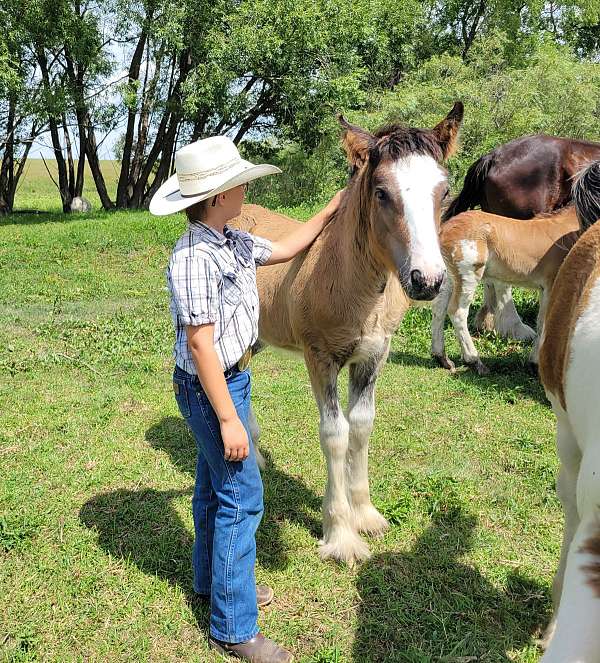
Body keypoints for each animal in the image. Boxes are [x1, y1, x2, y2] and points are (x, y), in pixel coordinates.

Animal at [231, 104, 464, 564]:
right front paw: (340, 535)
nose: (427, 281)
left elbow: (361, 426)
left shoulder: (373, 355)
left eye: (444, 191)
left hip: (257, 337)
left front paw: (366, 515)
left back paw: (257, 455)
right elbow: (335, 434)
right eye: (381, 192)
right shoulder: (320, 358)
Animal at [434, 208, 580, 374]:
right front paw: (536, 364)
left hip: (449, 279)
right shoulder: (551, 285)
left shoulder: (546, 289)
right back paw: (475, 362)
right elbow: (545, 323)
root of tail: (444, 229)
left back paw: (442, 358)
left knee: (439, 309)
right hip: (468, 276)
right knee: (457, 312)